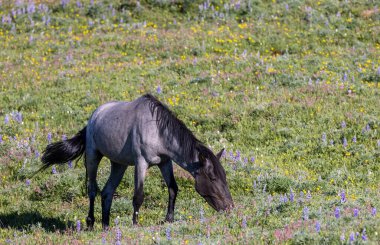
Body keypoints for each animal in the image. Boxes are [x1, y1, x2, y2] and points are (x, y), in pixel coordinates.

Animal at [38, 94, 235, 230]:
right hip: (93, 157)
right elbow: (138, 196)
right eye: (212, 178)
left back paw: (106, 226)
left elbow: (173, 188)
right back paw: (91, 222)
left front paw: (169, 219)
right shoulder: (141, 163)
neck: (157, 130)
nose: (229, 208)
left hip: (119, 164)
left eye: (224, 176)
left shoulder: (165, 162)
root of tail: (94, 117)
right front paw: (135, 223)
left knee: (107, 192)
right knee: (92, 190)